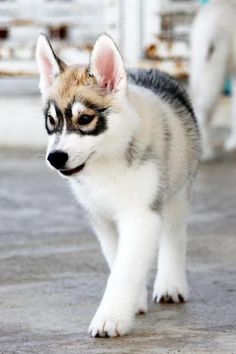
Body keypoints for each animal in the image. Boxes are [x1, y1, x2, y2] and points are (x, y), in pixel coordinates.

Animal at [36, 34, 200, 338]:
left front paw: (110, 318)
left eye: (85, 119)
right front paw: (132, 302)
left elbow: (125, 270)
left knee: (174, 235)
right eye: (51, 121)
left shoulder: (141, 216)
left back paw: (171, 284)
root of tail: (151, 70)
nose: (55, 157)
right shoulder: (101, 217)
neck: (107, 163)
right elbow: (117, 261)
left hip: (178, 190)